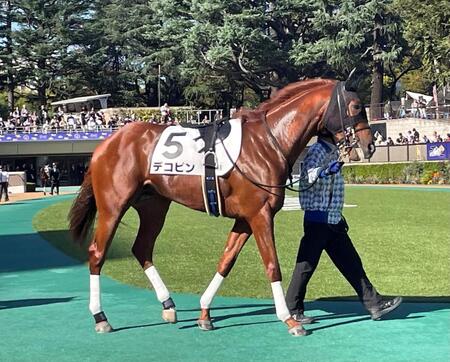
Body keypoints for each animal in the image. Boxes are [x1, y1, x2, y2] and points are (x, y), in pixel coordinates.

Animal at [68, 77, 374, 336]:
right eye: (357, 106)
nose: (369, 146)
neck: (267, 142)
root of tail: (105, 144)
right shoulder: (260, 215)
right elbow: (272, 265)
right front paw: (289, 319)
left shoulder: (245, 219)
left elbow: (226, 260)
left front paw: (204, 313)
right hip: (113, 207)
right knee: (97, 254)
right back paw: (100, 317)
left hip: (154, 206)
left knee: (141, 248)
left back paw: (169, 306)